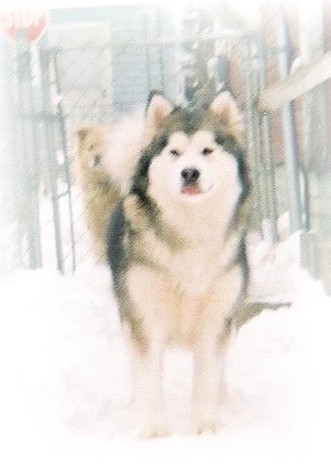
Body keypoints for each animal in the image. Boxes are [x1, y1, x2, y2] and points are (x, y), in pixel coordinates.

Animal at [107, 90, 250, 436]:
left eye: (207, 151)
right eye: (174, 152)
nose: (189, 172)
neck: (190, 230)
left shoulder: (216, 317)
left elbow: (207, 375)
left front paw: (206, 425)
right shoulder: (145, 316)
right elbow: (149, 377)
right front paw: (153, 428)